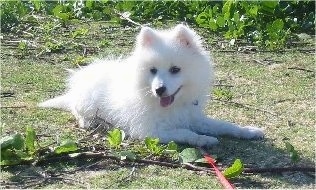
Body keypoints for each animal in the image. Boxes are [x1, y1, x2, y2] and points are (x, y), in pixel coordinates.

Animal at [39, 24, 264, 147]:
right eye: (153, 70)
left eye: (175, 69)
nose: (159, 90)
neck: (173, 106)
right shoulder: (150, 131)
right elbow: (186, 133)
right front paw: (203, 140)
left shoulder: (193, 118)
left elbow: (225, 125)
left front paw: (249, 131)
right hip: (86, 103)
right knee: (78, 112)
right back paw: (89, 121)